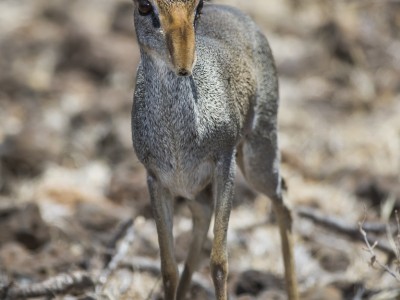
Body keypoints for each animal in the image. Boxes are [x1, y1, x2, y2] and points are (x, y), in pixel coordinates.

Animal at [130, 1, 298, 298]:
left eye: (198, 8)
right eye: (144, 7)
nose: (184, 64)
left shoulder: (225, 164)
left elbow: (219, 262)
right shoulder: (156, 179)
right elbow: (168, 269)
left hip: (257, 160)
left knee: (285, 200)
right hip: (193, 188)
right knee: (203, 216)